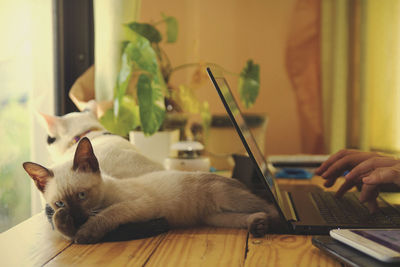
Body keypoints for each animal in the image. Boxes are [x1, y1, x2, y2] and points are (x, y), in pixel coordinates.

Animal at [21, 137, 278, 244]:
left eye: (82, 195)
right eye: (59, 203)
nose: (75, 216)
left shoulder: (139, 205)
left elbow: (107, 215)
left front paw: (86, 233)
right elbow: (63, 228)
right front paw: (66, 221)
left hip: (226, 197)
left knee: (268, 206)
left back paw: (276, 222)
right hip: (215, 217)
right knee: (248, 215)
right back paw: (257, 225)